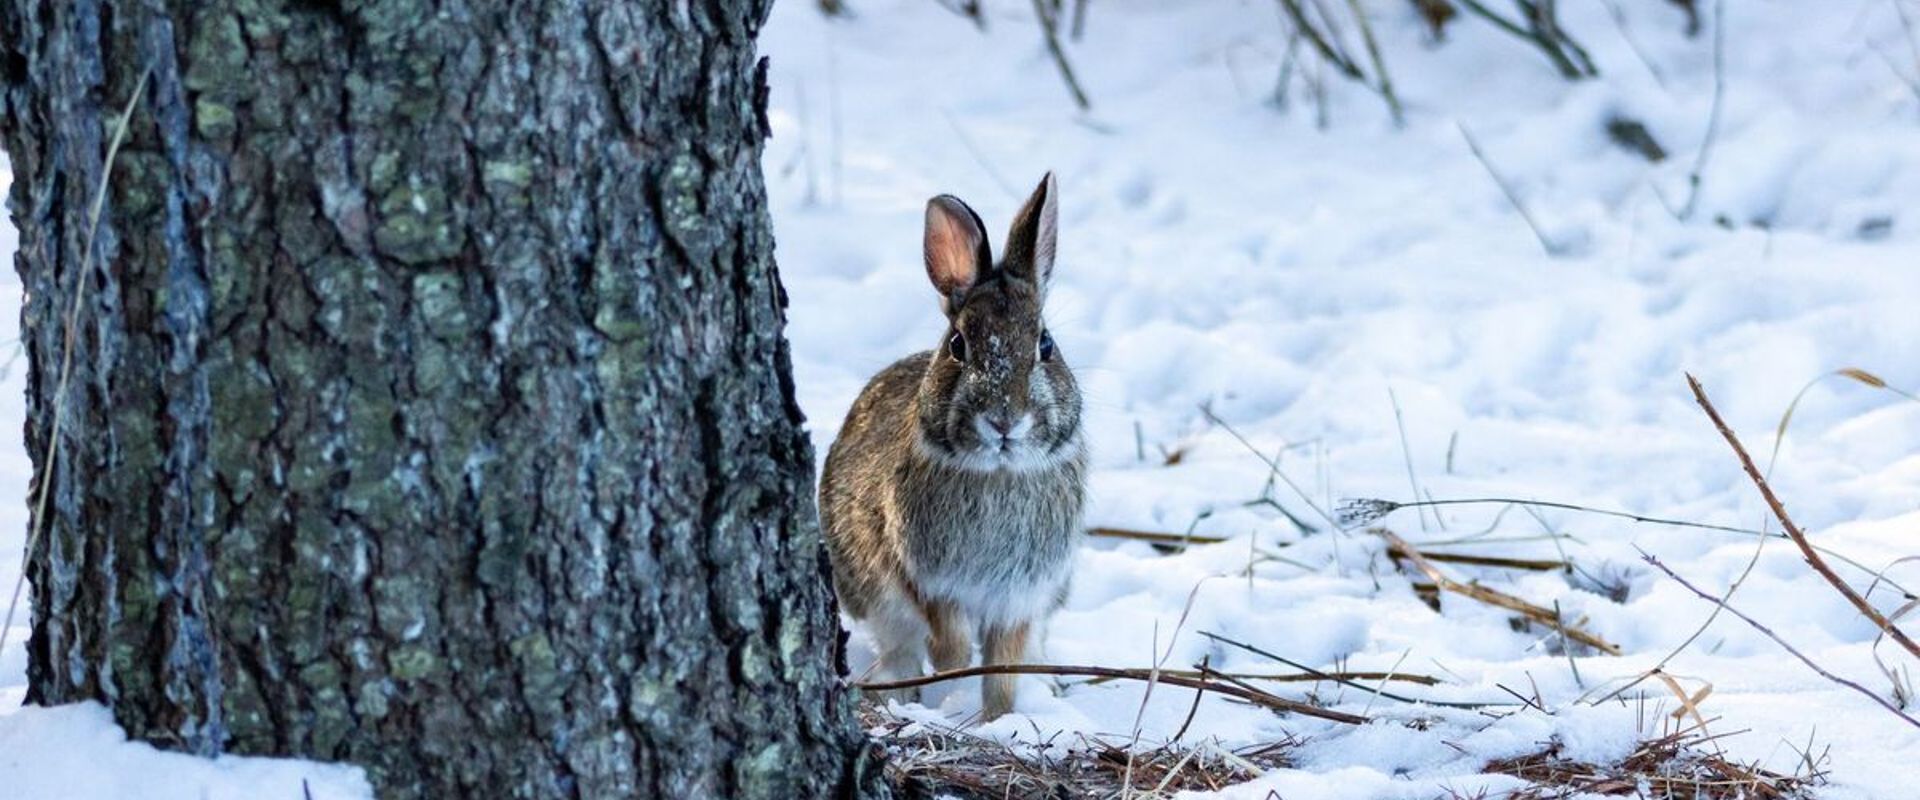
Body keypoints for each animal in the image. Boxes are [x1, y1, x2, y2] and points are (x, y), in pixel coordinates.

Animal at [819, 173, 1086, 721]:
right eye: (958, 345)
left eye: (1045, 344)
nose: (1004, 420)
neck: (998, 473)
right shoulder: (925, 579)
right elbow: (951, 645)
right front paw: (955, 692)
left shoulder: (1019, 597)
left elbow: (1004, 665)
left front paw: (997, 719)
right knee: (899, 651)